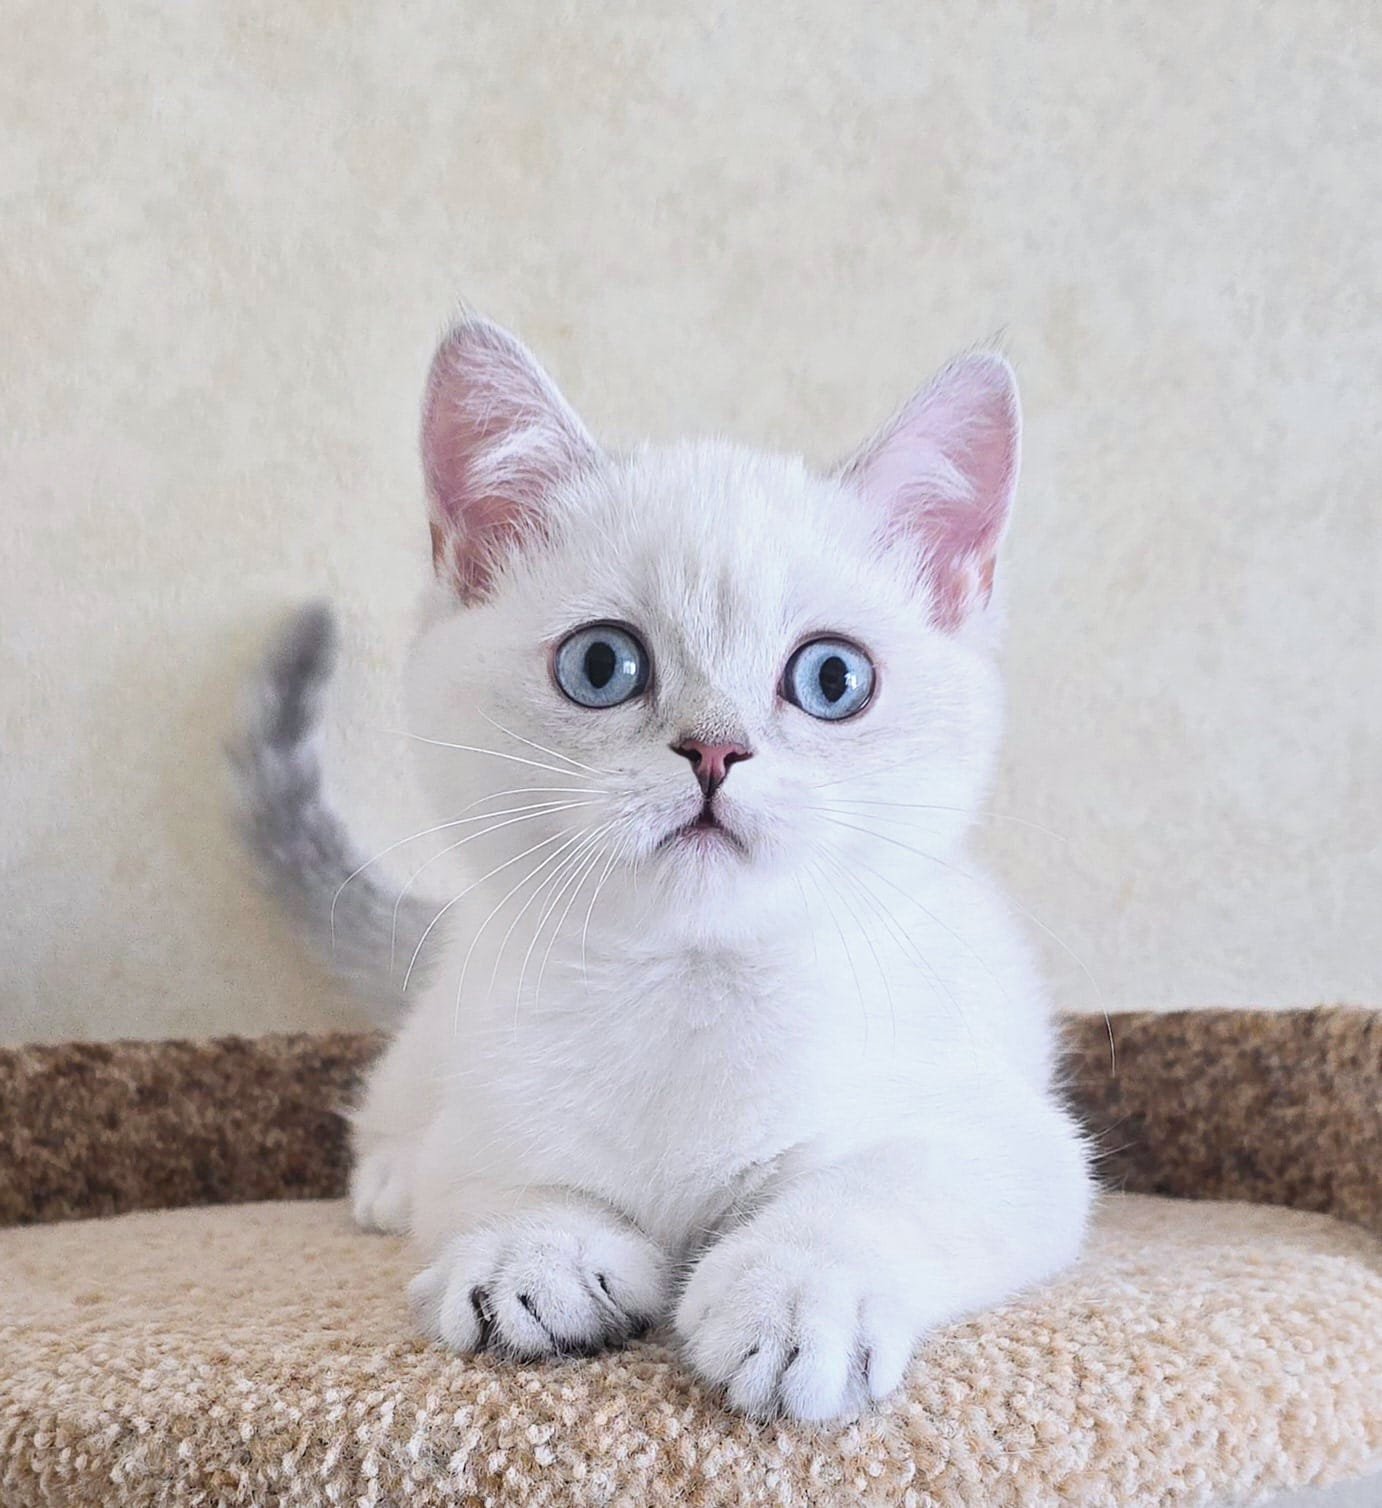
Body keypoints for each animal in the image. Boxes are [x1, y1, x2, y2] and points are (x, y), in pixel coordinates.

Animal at [233, 316, 1094, 1422]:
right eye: (601, 665)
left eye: (833, 677)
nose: (715, 751)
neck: (692, 985)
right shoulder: (491, 1110)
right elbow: (502, 1180)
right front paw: (532, 1255)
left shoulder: (1007, 1140)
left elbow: (872, 1189)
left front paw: (796, 1296)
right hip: (437, 1030)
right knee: (396, 1116)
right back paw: (388, 1181)